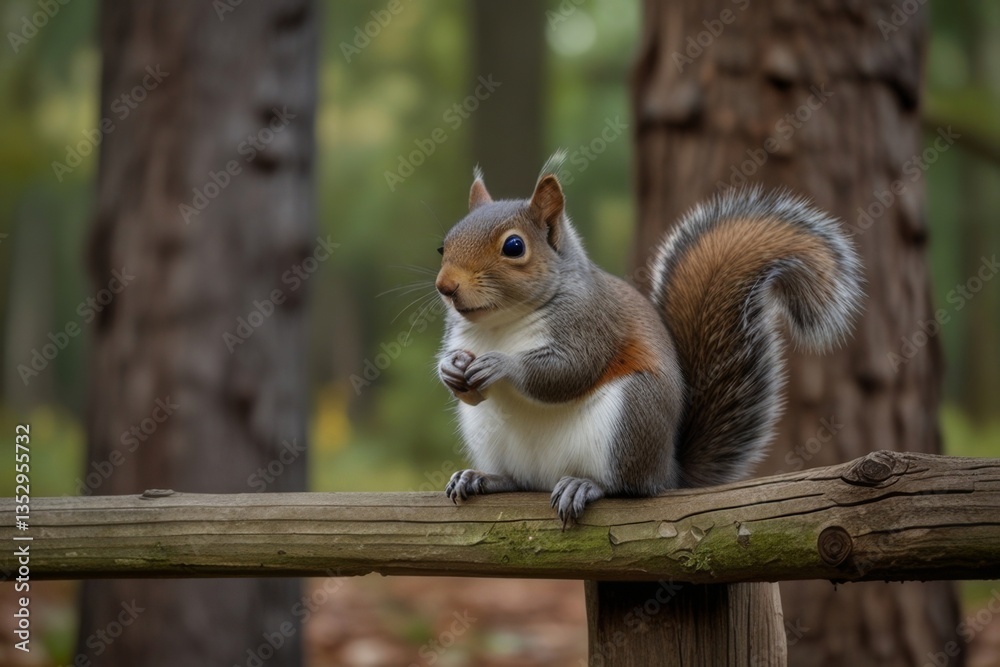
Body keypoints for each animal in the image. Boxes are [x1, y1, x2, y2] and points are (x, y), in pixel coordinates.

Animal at [435, 157, 863, 526]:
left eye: (514, 247)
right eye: (444, 245)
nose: (446, 287)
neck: (501, 325)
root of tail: (668, 471)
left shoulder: (590, 323)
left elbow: (568, 372)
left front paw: (501, 364)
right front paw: (449, 369)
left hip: (632, 414)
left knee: (627, 487)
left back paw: (584, 485)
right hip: (488, 434)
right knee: (519, 480)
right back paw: (481, 478)